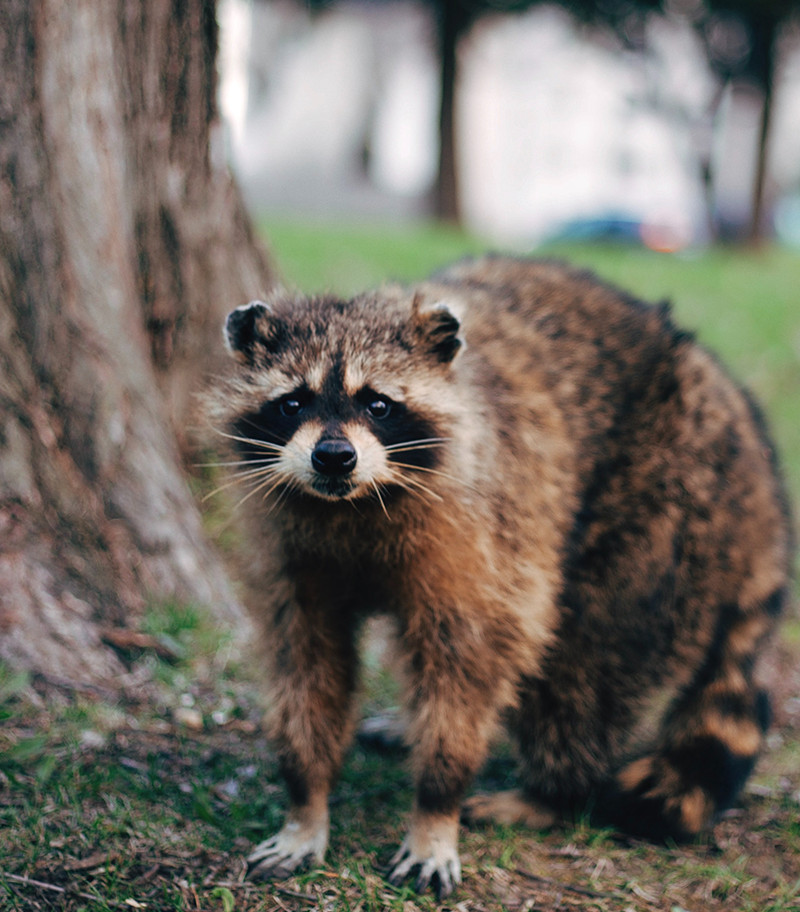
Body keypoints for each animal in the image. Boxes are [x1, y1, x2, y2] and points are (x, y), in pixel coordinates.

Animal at [206, 256, 793, 896]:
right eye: (293, 403)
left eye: (378, 405)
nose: (334, 457)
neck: (353, 503)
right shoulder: (290, 548)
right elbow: (306, 662)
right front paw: (306, 800)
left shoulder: (484, 531)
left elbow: (470, 659)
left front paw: (436, 806)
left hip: (667, 505)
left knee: (584, 664)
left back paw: (552, 792)